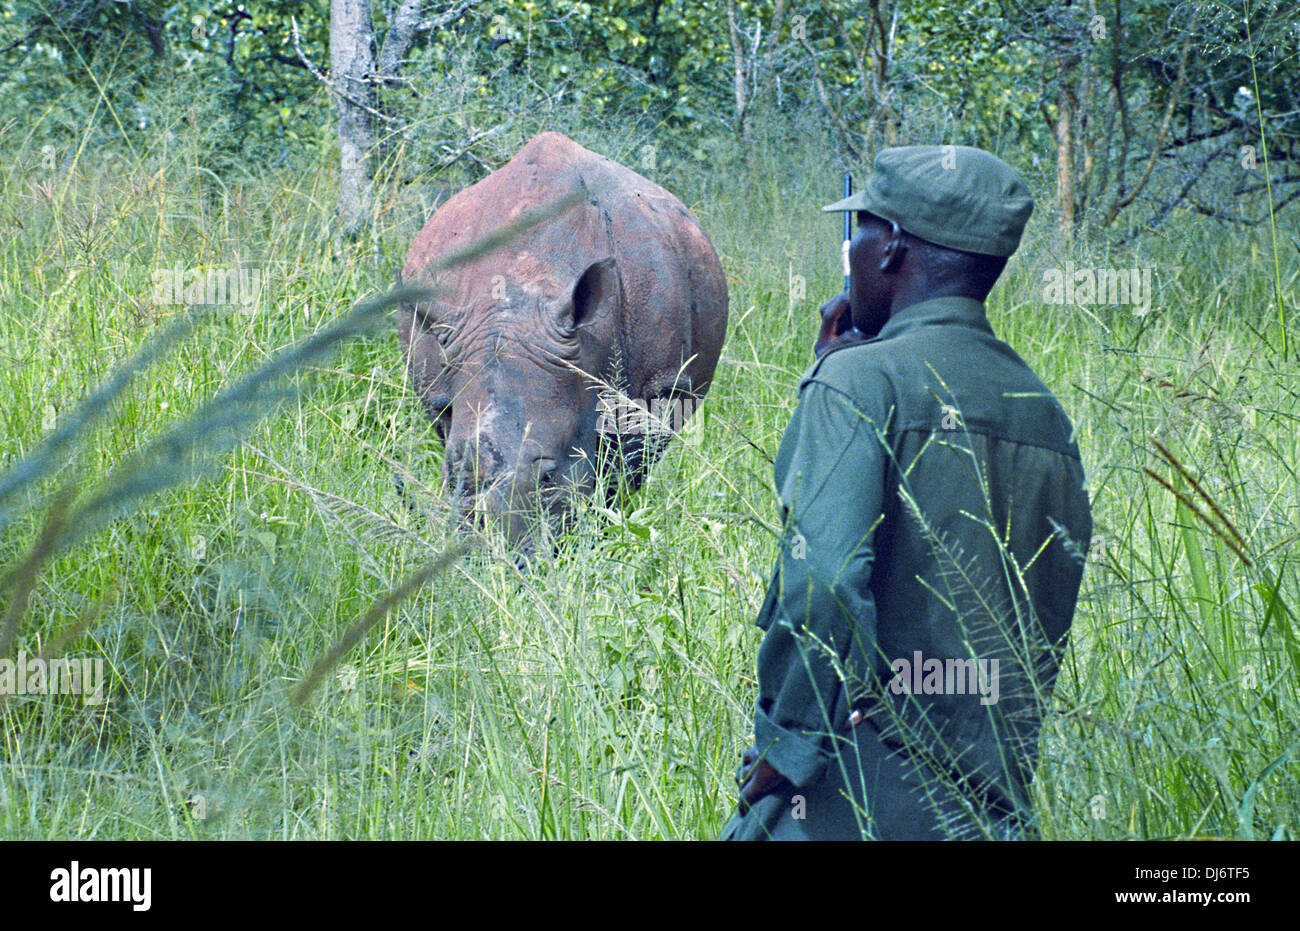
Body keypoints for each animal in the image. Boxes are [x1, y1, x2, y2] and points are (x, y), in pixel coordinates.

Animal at [397, 132, 728, 549]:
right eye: (457, 474)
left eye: (548, 477)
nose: (504, 556)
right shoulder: (438, 390)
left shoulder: (660, 388)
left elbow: (621, 472)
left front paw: (598, 537)